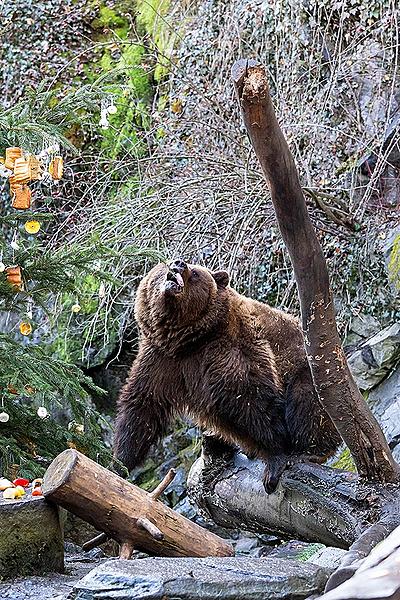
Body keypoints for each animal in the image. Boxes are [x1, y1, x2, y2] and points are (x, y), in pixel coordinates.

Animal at [113, 258, 340, 492]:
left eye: (196, 272)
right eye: (165, 266)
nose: (179, 263)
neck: (188, 340)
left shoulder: (229, 345)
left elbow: (249, 397)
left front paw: (275, 458)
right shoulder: (161, 360)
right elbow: (142, 406)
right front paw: (121, 463)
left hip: (310, 371)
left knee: (308, 403)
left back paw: (310, 452)